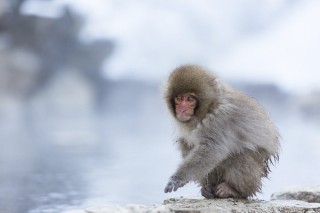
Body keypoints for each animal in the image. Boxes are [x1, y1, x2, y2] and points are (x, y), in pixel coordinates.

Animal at [164, 64, 278, 199]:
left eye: (190, 99)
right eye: (179, 98)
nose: (181, 109)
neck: (210, 108)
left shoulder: (220, 120)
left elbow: (211, 149)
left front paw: (178, 178)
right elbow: (187, 144)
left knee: (239, 156)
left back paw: (236, 190)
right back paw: (208, 187)